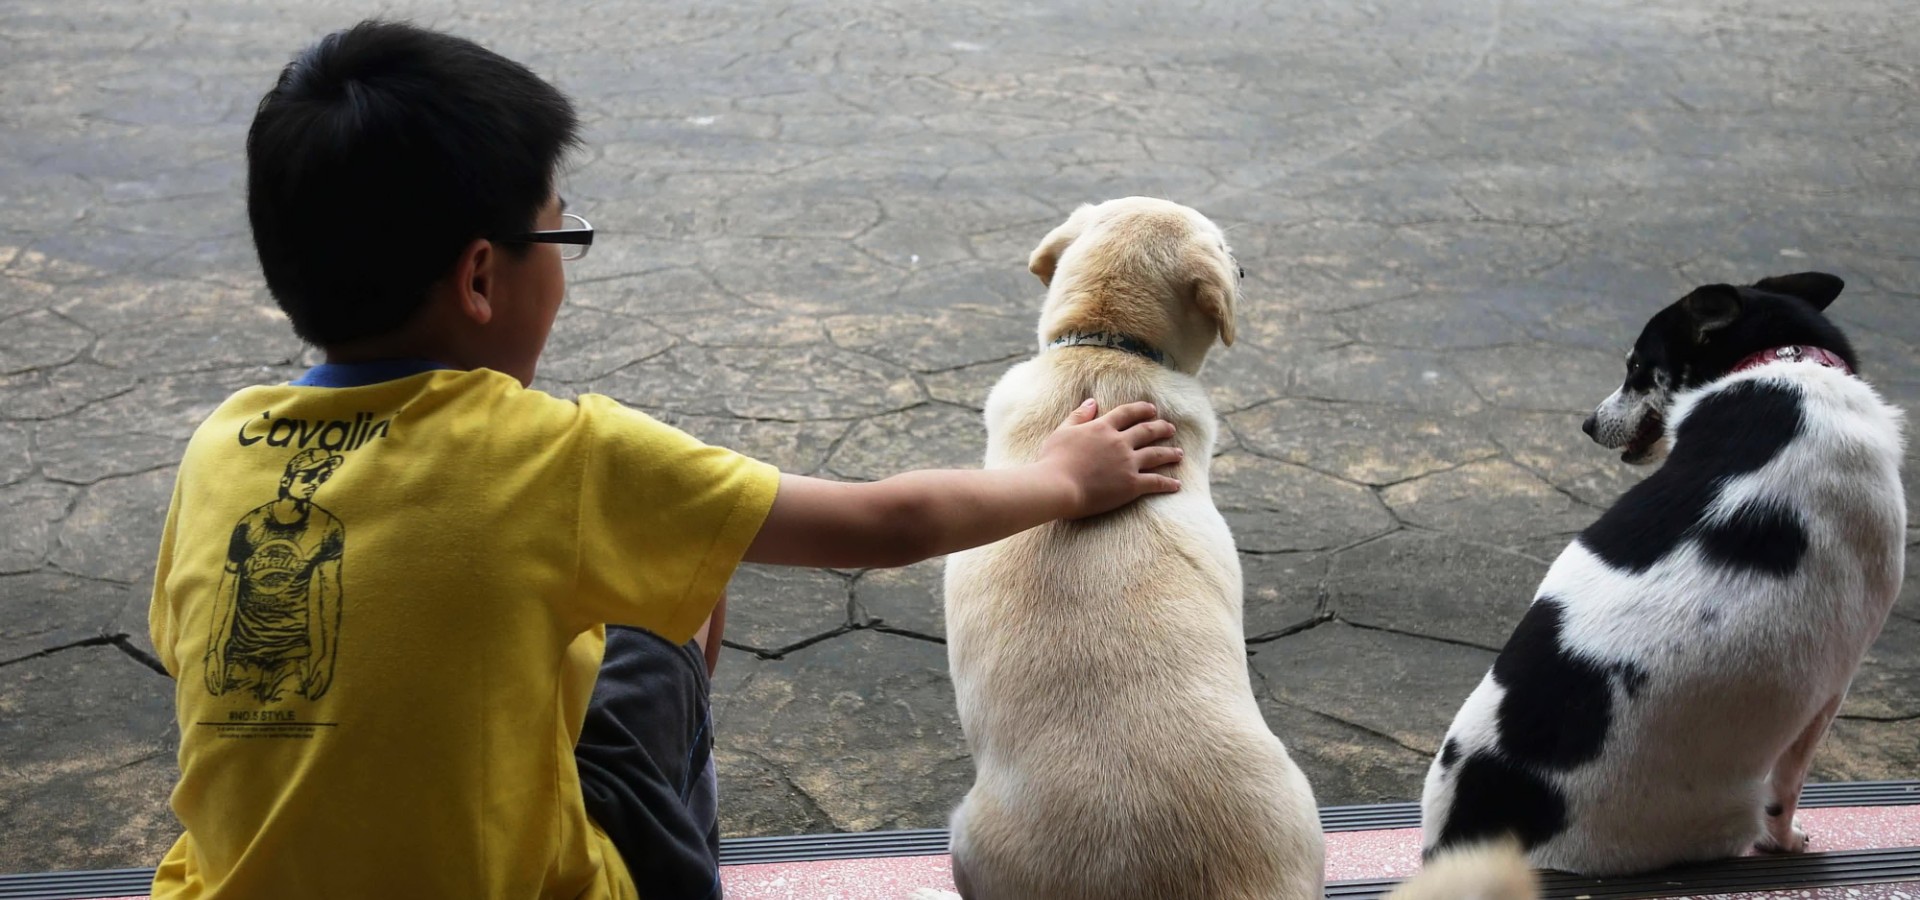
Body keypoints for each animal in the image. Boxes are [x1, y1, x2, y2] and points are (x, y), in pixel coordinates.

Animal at [1420, 272, 1912, 871]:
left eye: (1636, 367)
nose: (1587, 424)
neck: (1785, 367)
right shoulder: (1830, 691)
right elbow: (1787, 789)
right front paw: (1787, 842)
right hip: (1725, 812)